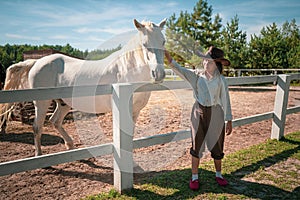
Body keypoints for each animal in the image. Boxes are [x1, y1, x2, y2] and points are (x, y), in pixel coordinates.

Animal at [2, 18, 166, 155]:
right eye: (144, 44)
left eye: (163, 42)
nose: (158, 73)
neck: (126, 69)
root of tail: (37, 62)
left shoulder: (135, 111)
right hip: (42, 103)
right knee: (37, 127)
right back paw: (39, 156)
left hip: (63, 103)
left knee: (55, 121)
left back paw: (70, 146)